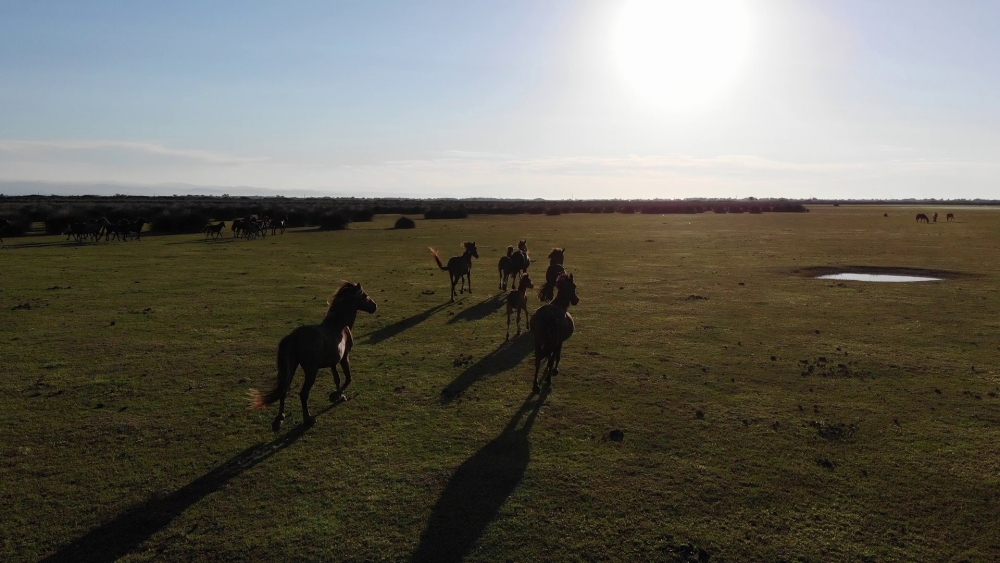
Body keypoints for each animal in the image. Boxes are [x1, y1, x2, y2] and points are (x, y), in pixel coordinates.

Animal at [248, 282, 376, 432]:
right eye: (365, 295)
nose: (374, 306)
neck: (338, 325)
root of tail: (294, 336)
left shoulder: (333, 362)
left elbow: (337, 379)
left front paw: (338, 396)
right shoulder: (344, 357)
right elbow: (348, 379)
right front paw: (336, 395)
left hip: (291, 368)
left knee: (284, 390)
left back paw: (280, 418)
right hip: (311, 371)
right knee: (303, 394)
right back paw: (308, 418)